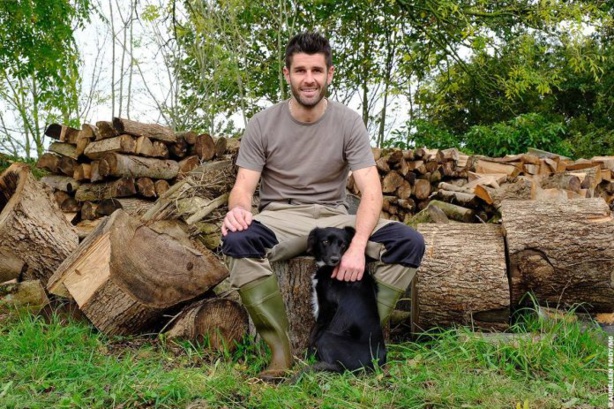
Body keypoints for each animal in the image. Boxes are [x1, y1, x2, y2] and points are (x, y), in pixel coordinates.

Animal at [306, 226, 388, 372]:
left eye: (343, 244)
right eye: (325, 241)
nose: (335, 259)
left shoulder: (326, 308)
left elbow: (313, 333)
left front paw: (308, 355)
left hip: (327, 337)